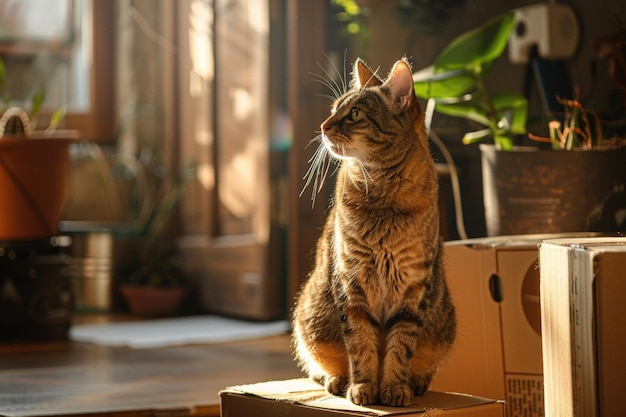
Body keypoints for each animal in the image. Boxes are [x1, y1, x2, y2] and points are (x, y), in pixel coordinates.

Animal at [290, 57, 456, 404]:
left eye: (354, 114)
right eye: (334, 108)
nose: (323, 126)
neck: (382, 196)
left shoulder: (412, 290)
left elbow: (400, 346)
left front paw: (394, 388)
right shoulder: (351, 283)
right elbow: (360, 343)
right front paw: (364, 387)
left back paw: (417, 382)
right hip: (308, 317)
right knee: (317, 367)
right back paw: (337, 381)